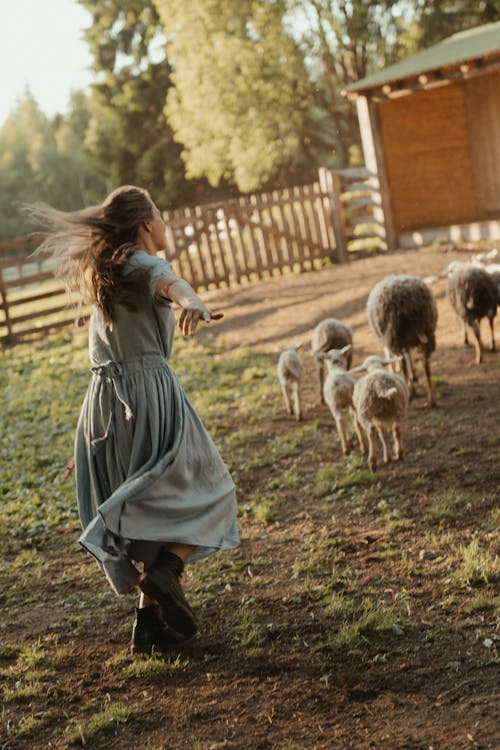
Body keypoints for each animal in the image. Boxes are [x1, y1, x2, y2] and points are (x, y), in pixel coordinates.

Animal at [364, 274, 438, 406]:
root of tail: (407, 302)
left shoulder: (389, 341)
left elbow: (392, 359)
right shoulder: (407, 343)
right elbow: (409, 357)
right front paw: (414, 376)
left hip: (395, 337)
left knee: (403, 365)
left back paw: (409, 392)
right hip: (427, 333)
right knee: (426, 366)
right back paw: (431, 399)